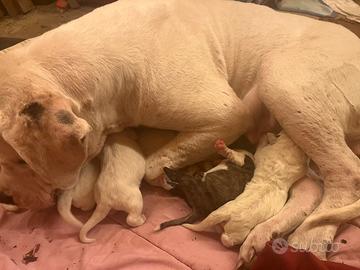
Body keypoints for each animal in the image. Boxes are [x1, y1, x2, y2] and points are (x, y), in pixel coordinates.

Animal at [0, 0, 360, 262]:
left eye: (17, 160)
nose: (6, 199)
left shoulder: (226, 115)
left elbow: (152, 165)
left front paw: (170, 178)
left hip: (281, 79)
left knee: (345, 174)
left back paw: (308, 241)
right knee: (310, 189)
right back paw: (263, 236)